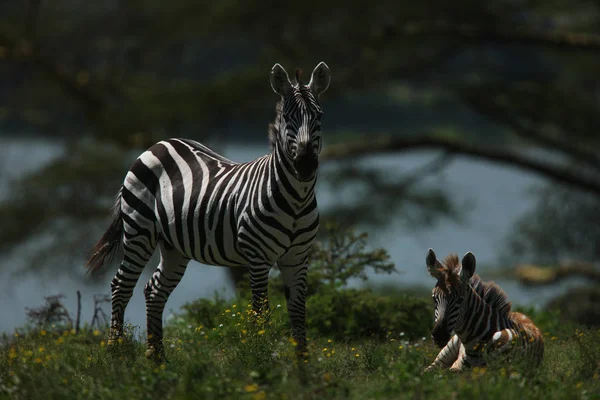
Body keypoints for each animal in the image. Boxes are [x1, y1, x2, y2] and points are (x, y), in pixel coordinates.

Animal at [85, 61, 330, 362]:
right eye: (287, 117)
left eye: (318, 116)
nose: (305, 165)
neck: (296, 199)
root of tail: (159, 144)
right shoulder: (258, 258)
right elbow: (261, 314)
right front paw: (260, 358)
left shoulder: (297, 259)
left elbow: (299, 314)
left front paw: (302, 367)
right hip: (139, 231)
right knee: (121, 285)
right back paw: (116, 352)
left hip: (174, 246)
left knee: (154, 289)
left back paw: (157, 359)